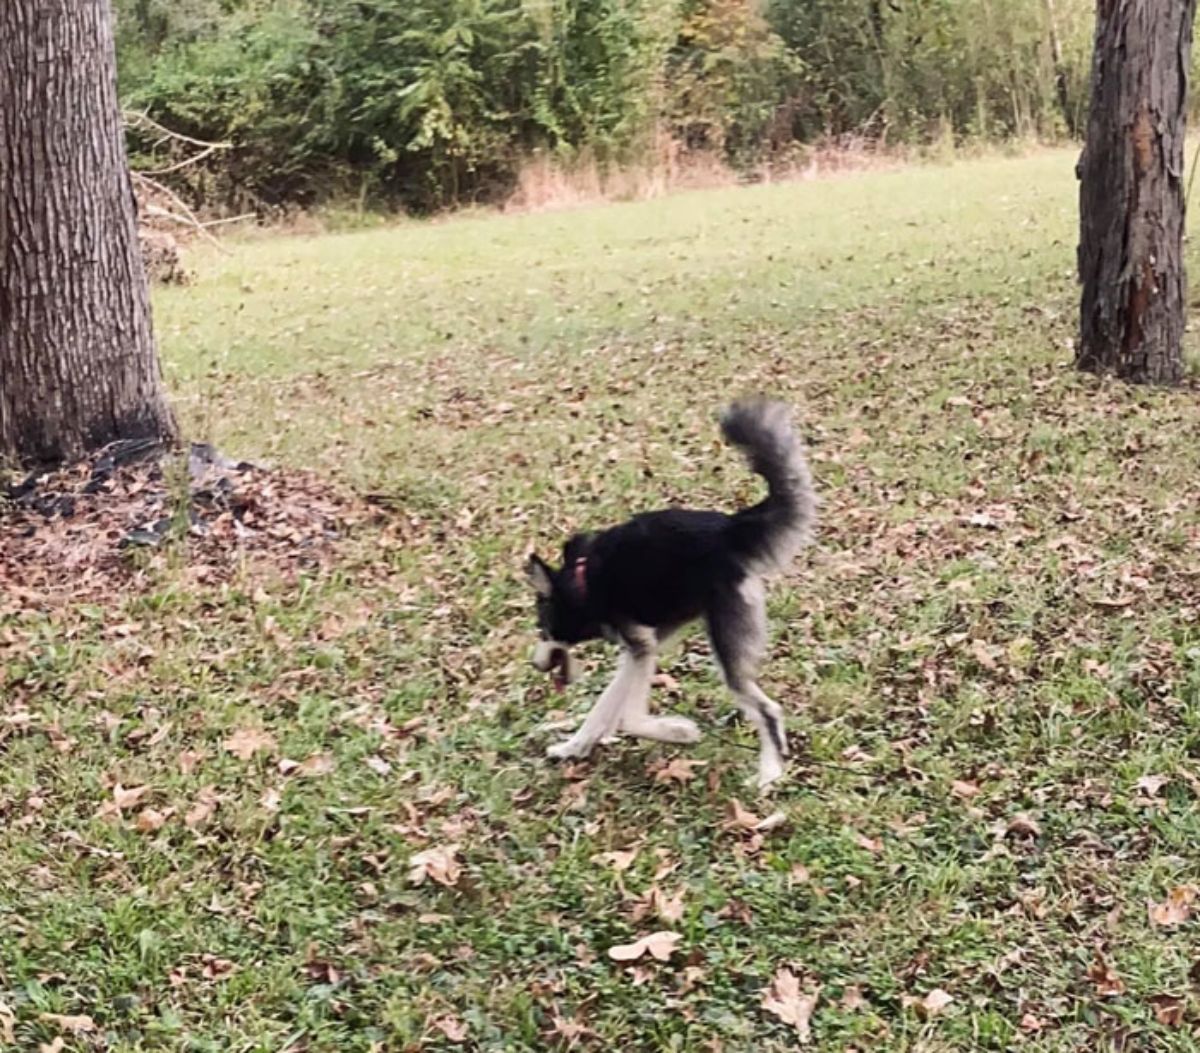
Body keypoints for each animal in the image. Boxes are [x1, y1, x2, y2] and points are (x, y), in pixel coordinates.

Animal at [525, 400, 816, 786]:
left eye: (542, 629)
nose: (535, 664)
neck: (582, 584)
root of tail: (730, 527)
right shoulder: (639, 650)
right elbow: (605, 707)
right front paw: (574, 747)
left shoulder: (640, 647)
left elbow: (630, 717)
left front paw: (679, 732)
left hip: (726, 644)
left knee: (768, 709)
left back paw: (768, 773)